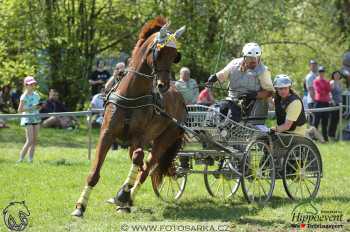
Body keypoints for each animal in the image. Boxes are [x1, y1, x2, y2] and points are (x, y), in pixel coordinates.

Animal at [72, 16, 187, 218]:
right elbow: (94, 172)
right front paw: (80, 206)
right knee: (141, 165)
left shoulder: (139, 137)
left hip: (164, 139)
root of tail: (181, 98)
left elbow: (138, 159)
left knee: (146, 168)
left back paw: (127, 198)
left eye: (175, 55)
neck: (131, 94)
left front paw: (123, 194)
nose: (163, 85)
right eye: (159, 52)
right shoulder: (107, 133)